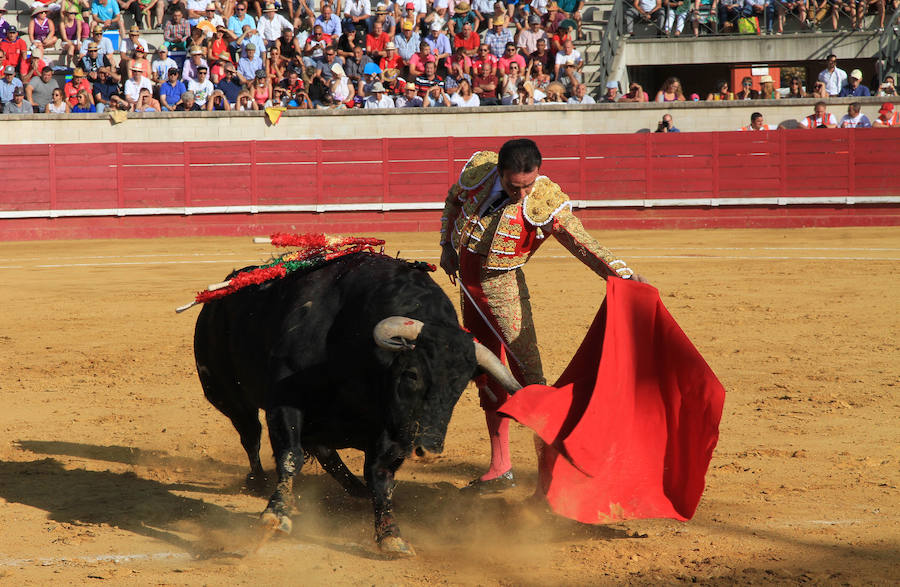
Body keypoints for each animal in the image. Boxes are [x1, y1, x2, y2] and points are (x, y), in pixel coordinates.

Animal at [193, 253, 524, 556]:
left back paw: (355, 489)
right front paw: (275, 514)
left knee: (325, 453)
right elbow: (290, 456)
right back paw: (258, 481)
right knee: (251, 434)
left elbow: (380, 475)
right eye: (412, 374)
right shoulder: (286, 403)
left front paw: (390, 535)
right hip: (226, 395)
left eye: (460, 385)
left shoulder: (393, 430)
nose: (428, 450)